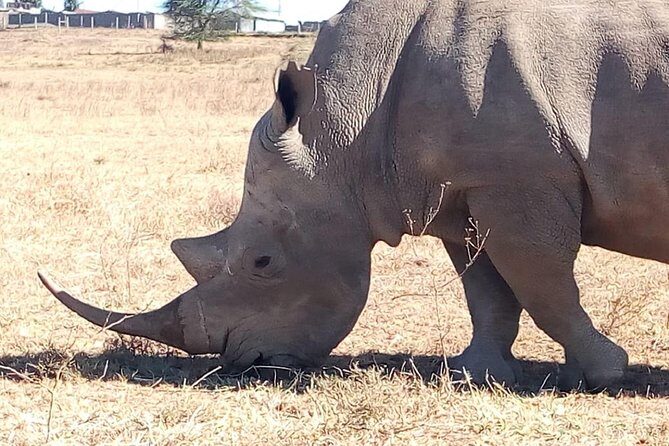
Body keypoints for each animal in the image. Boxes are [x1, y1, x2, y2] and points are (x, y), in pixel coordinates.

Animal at [39, 0, 669, 390]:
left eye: (263, 262)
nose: (244, 363)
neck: (347, 126)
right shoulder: (464, 189)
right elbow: (488, 288)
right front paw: (477, 375)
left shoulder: (518, 181)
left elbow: (542, 283)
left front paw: (605, 374)